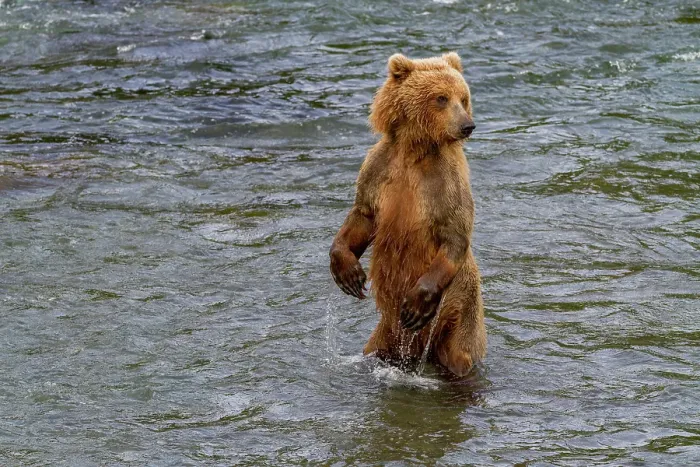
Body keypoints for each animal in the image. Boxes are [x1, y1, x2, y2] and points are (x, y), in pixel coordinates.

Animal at [329, 52, 486, 377]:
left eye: (463, 98)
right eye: (442, 97)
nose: (467, 126)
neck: (416, 150)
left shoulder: (446, 183)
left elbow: (455, 232)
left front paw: (416, 303)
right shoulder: (380, 167)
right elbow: (363, 215)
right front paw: (348, 273)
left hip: (461, 311)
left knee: (460, 355)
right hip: (386, 332)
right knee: (375, 348)